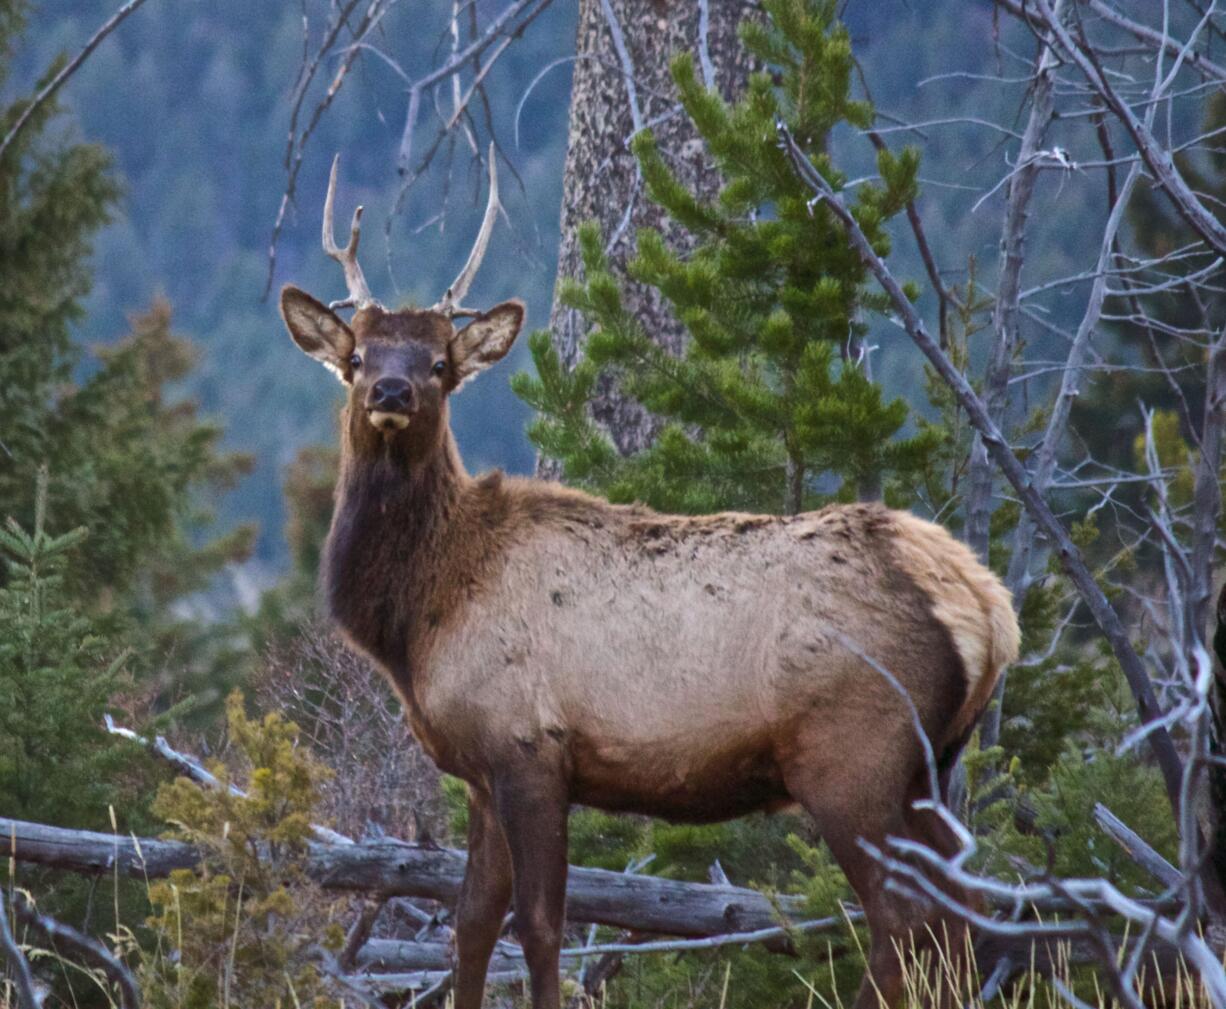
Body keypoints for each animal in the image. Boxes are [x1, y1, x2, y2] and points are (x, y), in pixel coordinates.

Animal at [281, 152, 1020, 1009]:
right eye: (357, 357)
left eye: (440, 362)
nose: (391, 393)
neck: (424, 613)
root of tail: (989, 607)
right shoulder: (480, 770)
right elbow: (470, 922)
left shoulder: (531, 747)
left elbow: (540, 924)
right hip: (932, 762)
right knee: (963, 906)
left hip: (854, 753)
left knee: (903, 914)